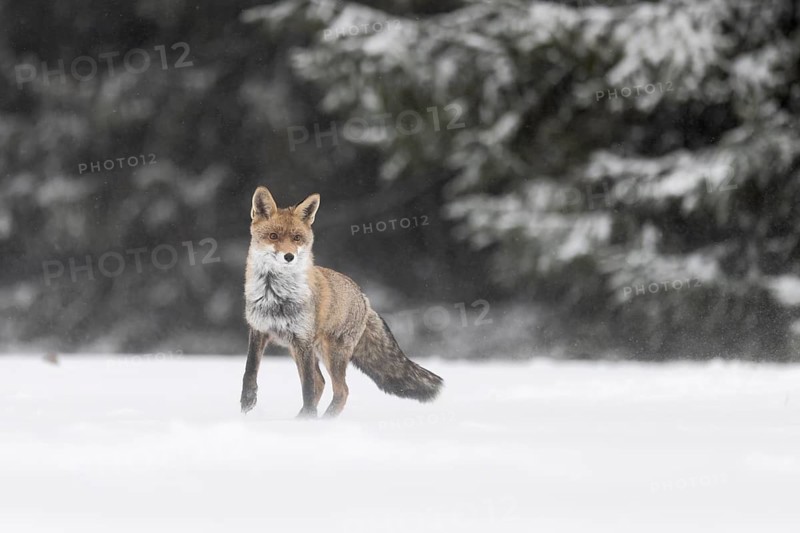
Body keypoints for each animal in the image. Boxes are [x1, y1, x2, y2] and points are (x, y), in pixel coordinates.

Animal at [240, 186, 443, 418]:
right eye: (273, 236)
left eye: (297, 238)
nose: (289, 256)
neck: (276, 297)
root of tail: (364, 298)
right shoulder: (259, 330)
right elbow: (250, 370)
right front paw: (247, 401)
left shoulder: (302, 340)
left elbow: (307, 388)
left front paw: (309, 419)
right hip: (305, 350)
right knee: (321, 383)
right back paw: (301, 419)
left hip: (330, 353)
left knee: (340, 390)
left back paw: (321, 419)